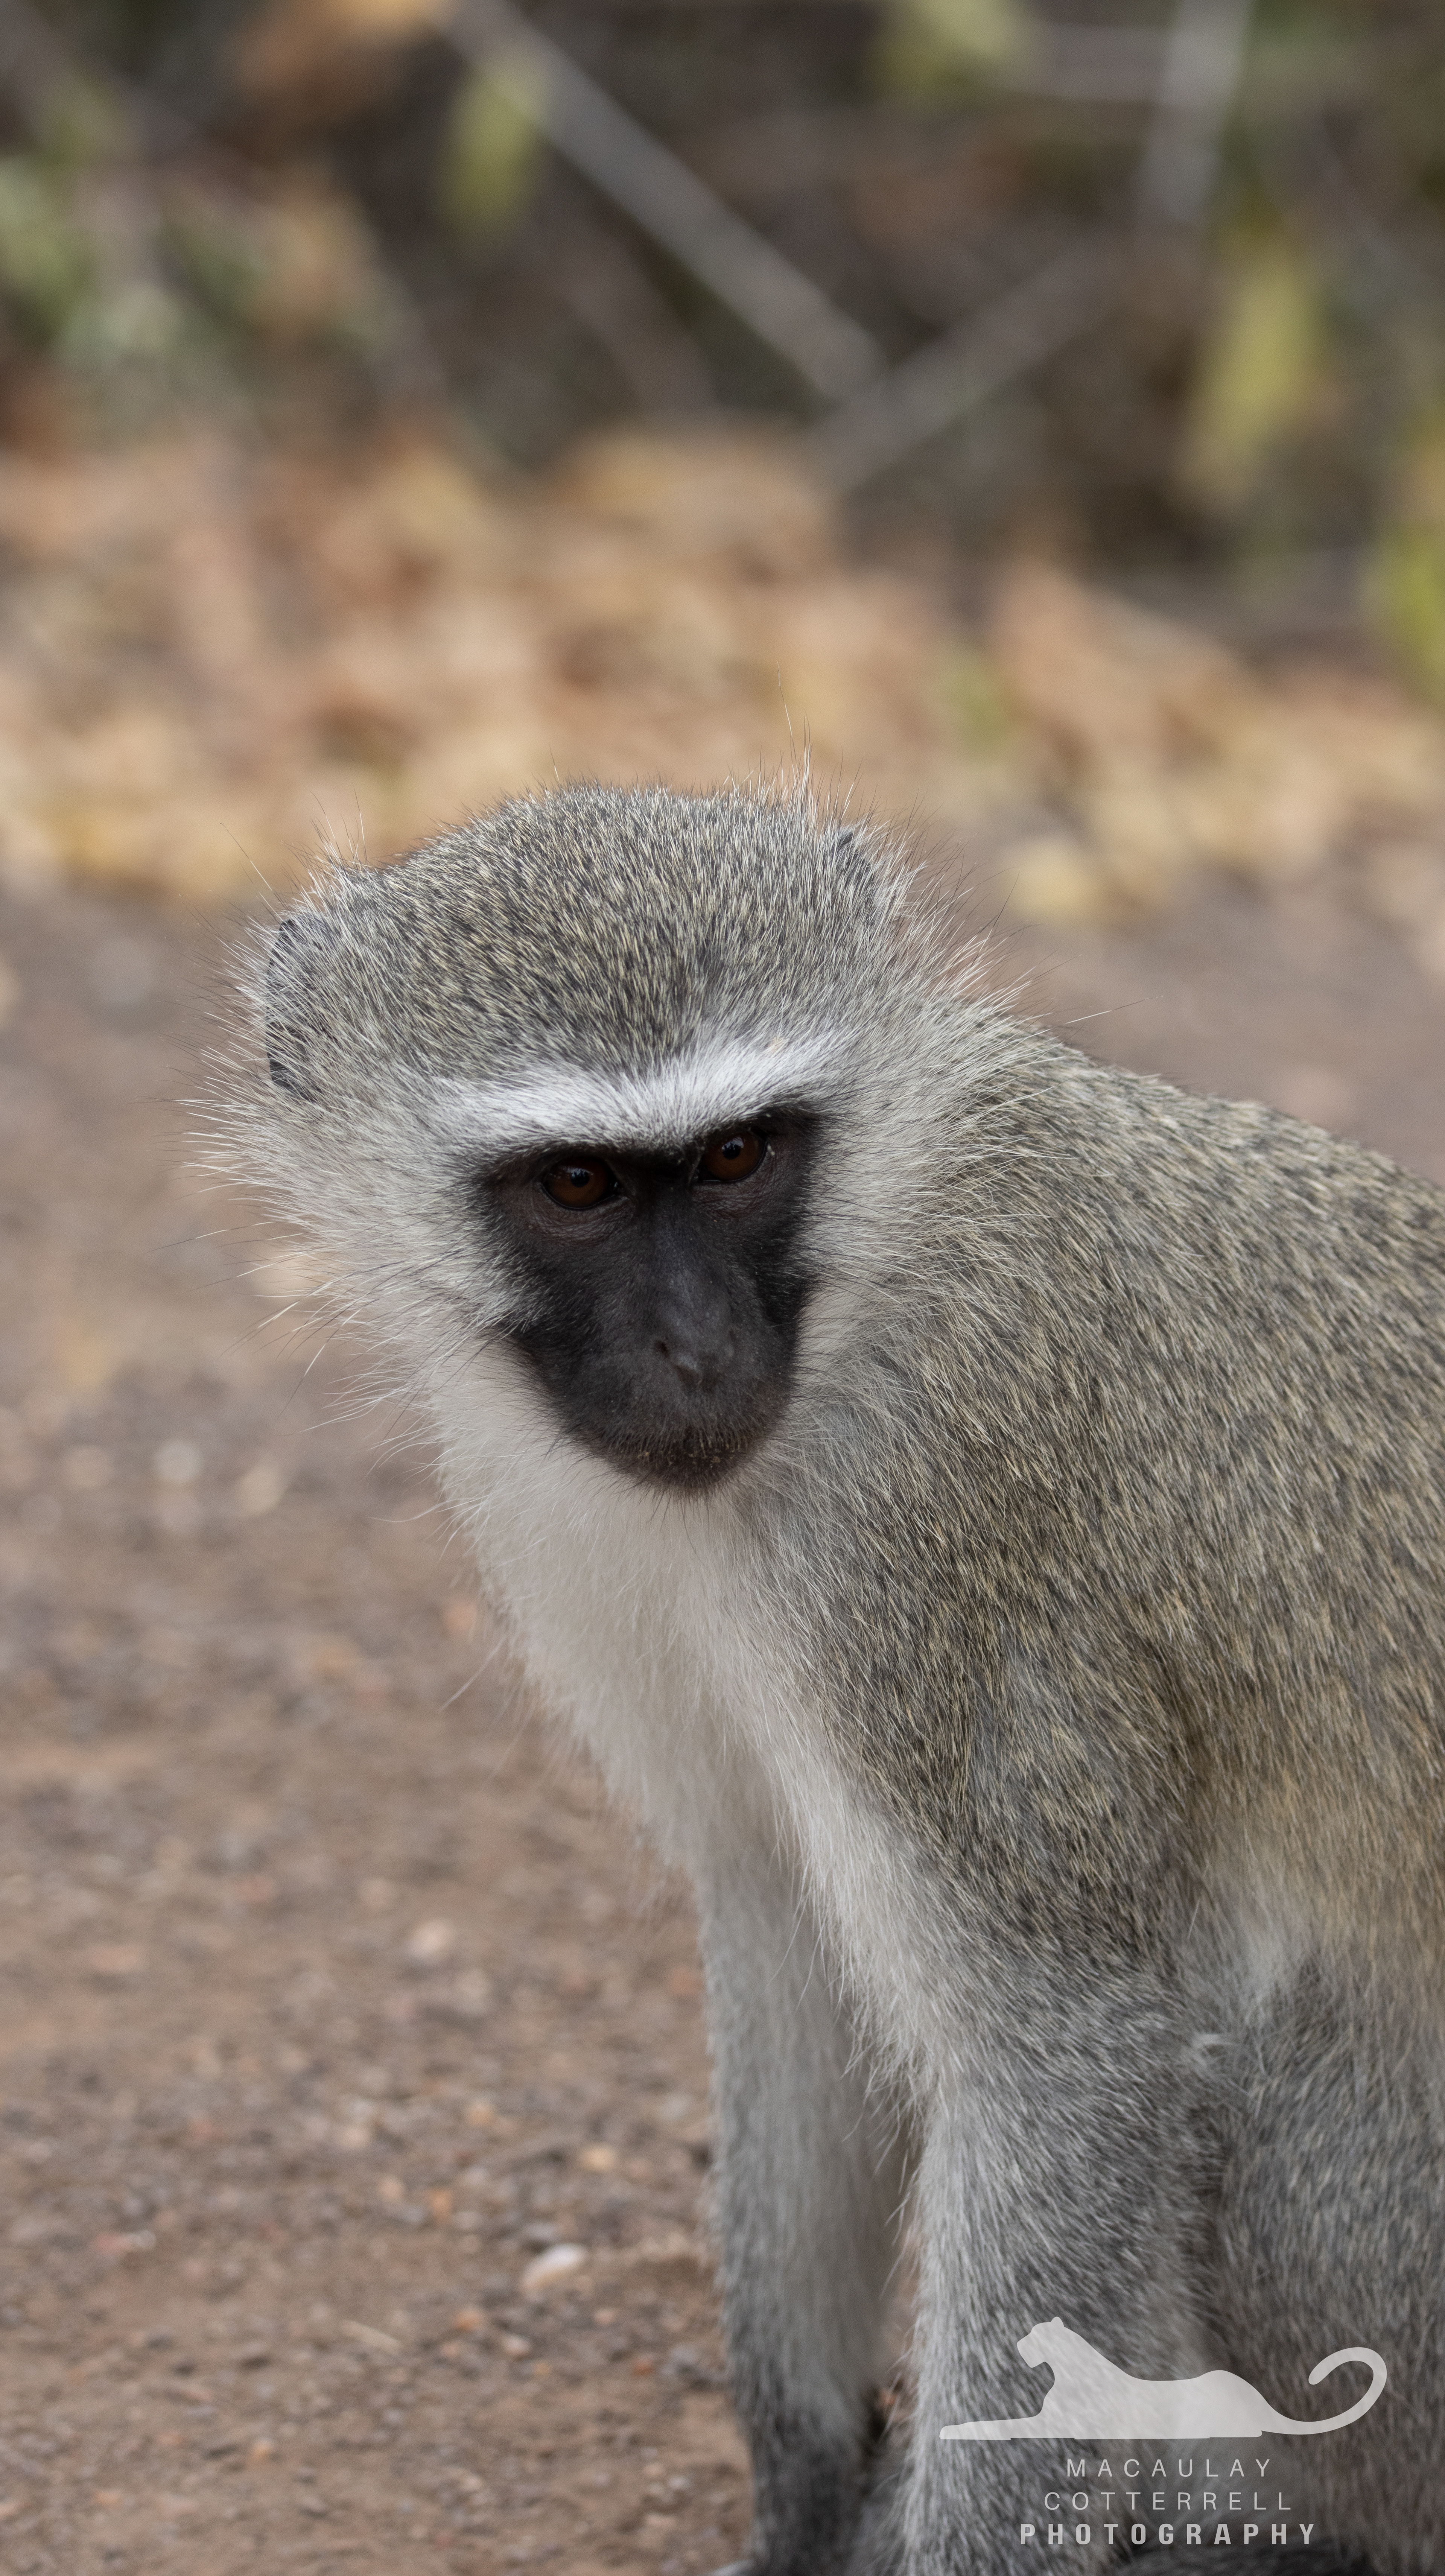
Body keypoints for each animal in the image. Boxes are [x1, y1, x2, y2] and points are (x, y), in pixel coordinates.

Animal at [231, 781, 1445, 2576]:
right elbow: (778, 1919)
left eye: (740, 1157)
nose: (692, 1353)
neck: (871, 1271)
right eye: (579, 1184)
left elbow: (1064, 2049)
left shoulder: (931, 1546)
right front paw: (803, 2488)